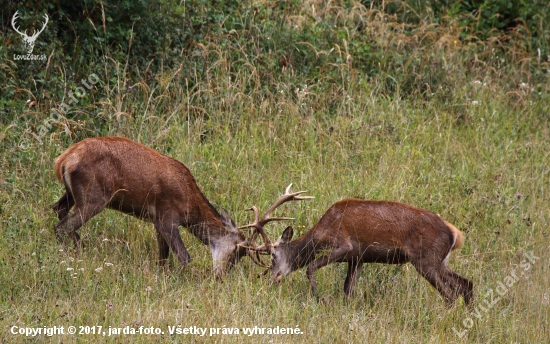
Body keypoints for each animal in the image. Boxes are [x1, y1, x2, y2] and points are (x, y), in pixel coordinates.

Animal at [264, 199, 474, 306]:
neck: (320, 233)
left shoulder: (344, 245)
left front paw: (319, 298)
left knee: (450, 295)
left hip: (426, 260)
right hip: (439, 261)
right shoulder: (358, 258)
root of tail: (455, 234)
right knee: (466, 284)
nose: (272, 279)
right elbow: (348, 289)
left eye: (273, 256)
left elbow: (310, 267)